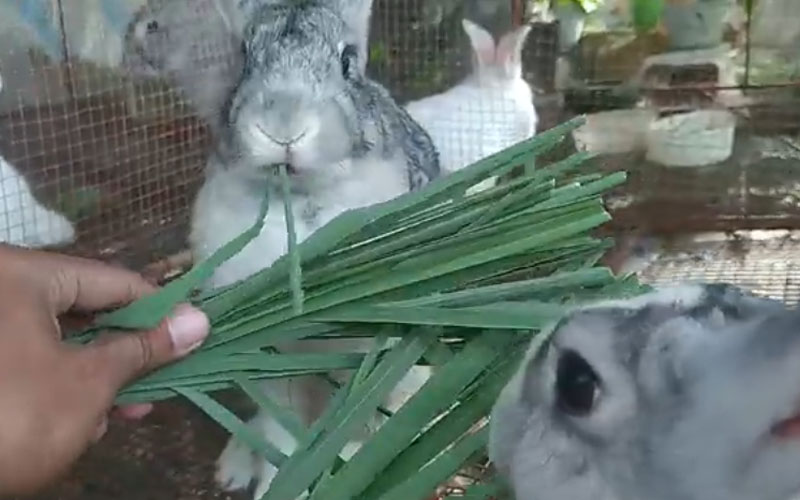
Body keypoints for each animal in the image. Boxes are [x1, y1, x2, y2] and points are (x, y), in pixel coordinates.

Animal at [182, 1, 441, 497]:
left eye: (347, 61)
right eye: (244, 59)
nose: (283, 127)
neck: (297, 200)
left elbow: (350, 422)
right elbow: (285, 435)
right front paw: (277, 485)